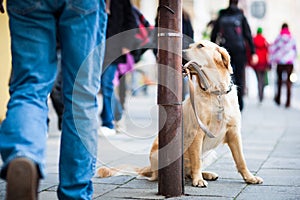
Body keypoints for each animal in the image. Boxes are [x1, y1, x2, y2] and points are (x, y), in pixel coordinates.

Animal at [98, 40, 262, 188]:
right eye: (189, 46)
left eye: (200, 46)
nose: (179, 53)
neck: (215, 92)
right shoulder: (196, 132)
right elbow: (196, 161)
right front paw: (198, 180)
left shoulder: (234, 132)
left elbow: (241, 159)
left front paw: (249, 177)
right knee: (162, 174)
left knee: (189, 170)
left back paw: (207, 174)